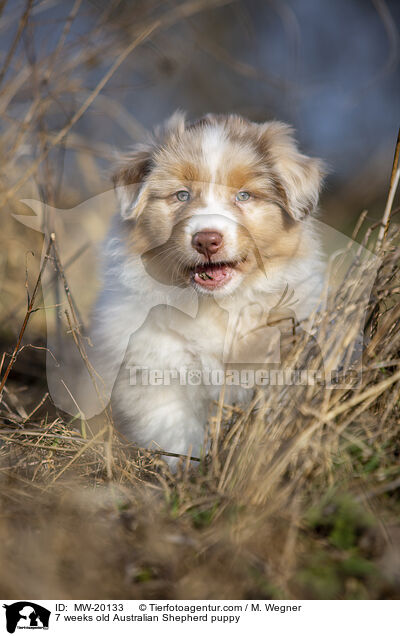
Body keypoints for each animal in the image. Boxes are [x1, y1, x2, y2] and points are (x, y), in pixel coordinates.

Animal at [91, 112, 324, 468]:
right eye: (181, 195)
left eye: (244, 196)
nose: (206, 240)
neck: (216, 305)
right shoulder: (154, 370)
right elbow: (176, 428)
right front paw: (188, 469)